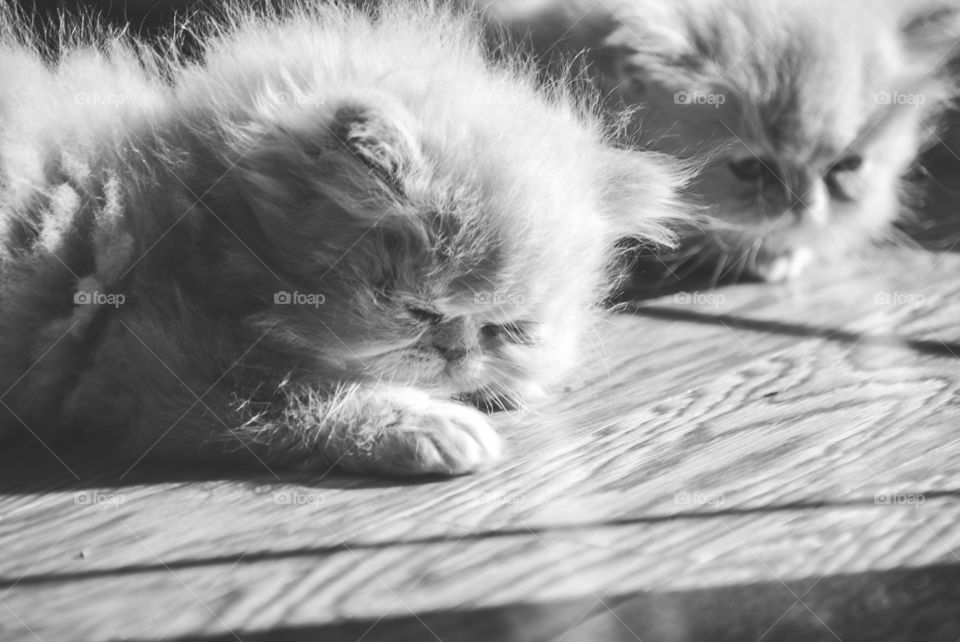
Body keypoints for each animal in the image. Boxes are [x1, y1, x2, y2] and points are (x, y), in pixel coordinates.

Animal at [0, 2, 688, 476]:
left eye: (508, 328)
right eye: (418, 311)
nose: (458, 353)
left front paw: (507, 384)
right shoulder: (158, 362)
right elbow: (308, 391)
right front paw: (433, 426)